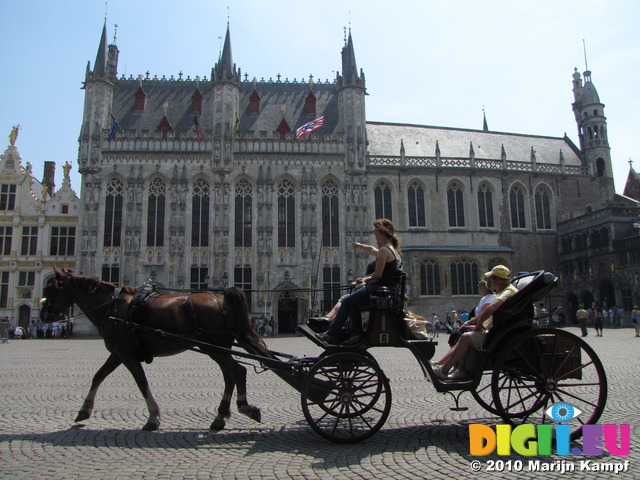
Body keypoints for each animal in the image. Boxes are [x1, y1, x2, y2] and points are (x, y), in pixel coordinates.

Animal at [40, 268, 270, 434]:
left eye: (51, 289)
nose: (43, 315)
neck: (112, 307)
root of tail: (220, 296)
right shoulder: (118, 353)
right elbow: (98, 376)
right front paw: (83, 411)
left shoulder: (126, 353)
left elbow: (141, 382)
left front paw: (152, 418)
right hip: (218, 347)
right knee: (231, 375)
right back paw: (220, 418)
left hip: (214, 346)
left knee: (237, 371)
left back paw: (245, 408)